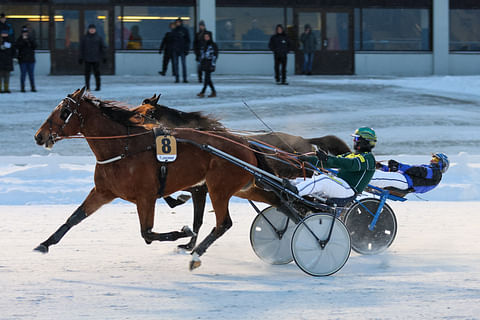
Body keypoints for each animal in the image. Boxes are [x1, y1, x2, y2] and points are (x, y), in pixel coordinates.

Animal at [33, 88, 278, 270]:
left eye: (64, 112)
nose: (39, 136)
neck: (123, 148)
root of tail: (244, 144)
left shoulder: (146, 197)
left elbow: (148, 233)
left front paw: (183, 232)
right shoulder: (103, 192)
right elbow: (74, 218)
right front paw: (44, 244)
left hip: (220, 188)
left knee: (224, 224)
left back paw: (196, 255)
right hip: (244, 187)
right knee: (277, 202)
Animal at [132, 94, 352, 249]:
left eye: (142, 114)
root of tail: (304, 142)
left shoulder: (199, 187)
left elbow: (196, 218)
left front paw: (189, 242)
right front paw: (188, 241)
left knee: (303, 203)